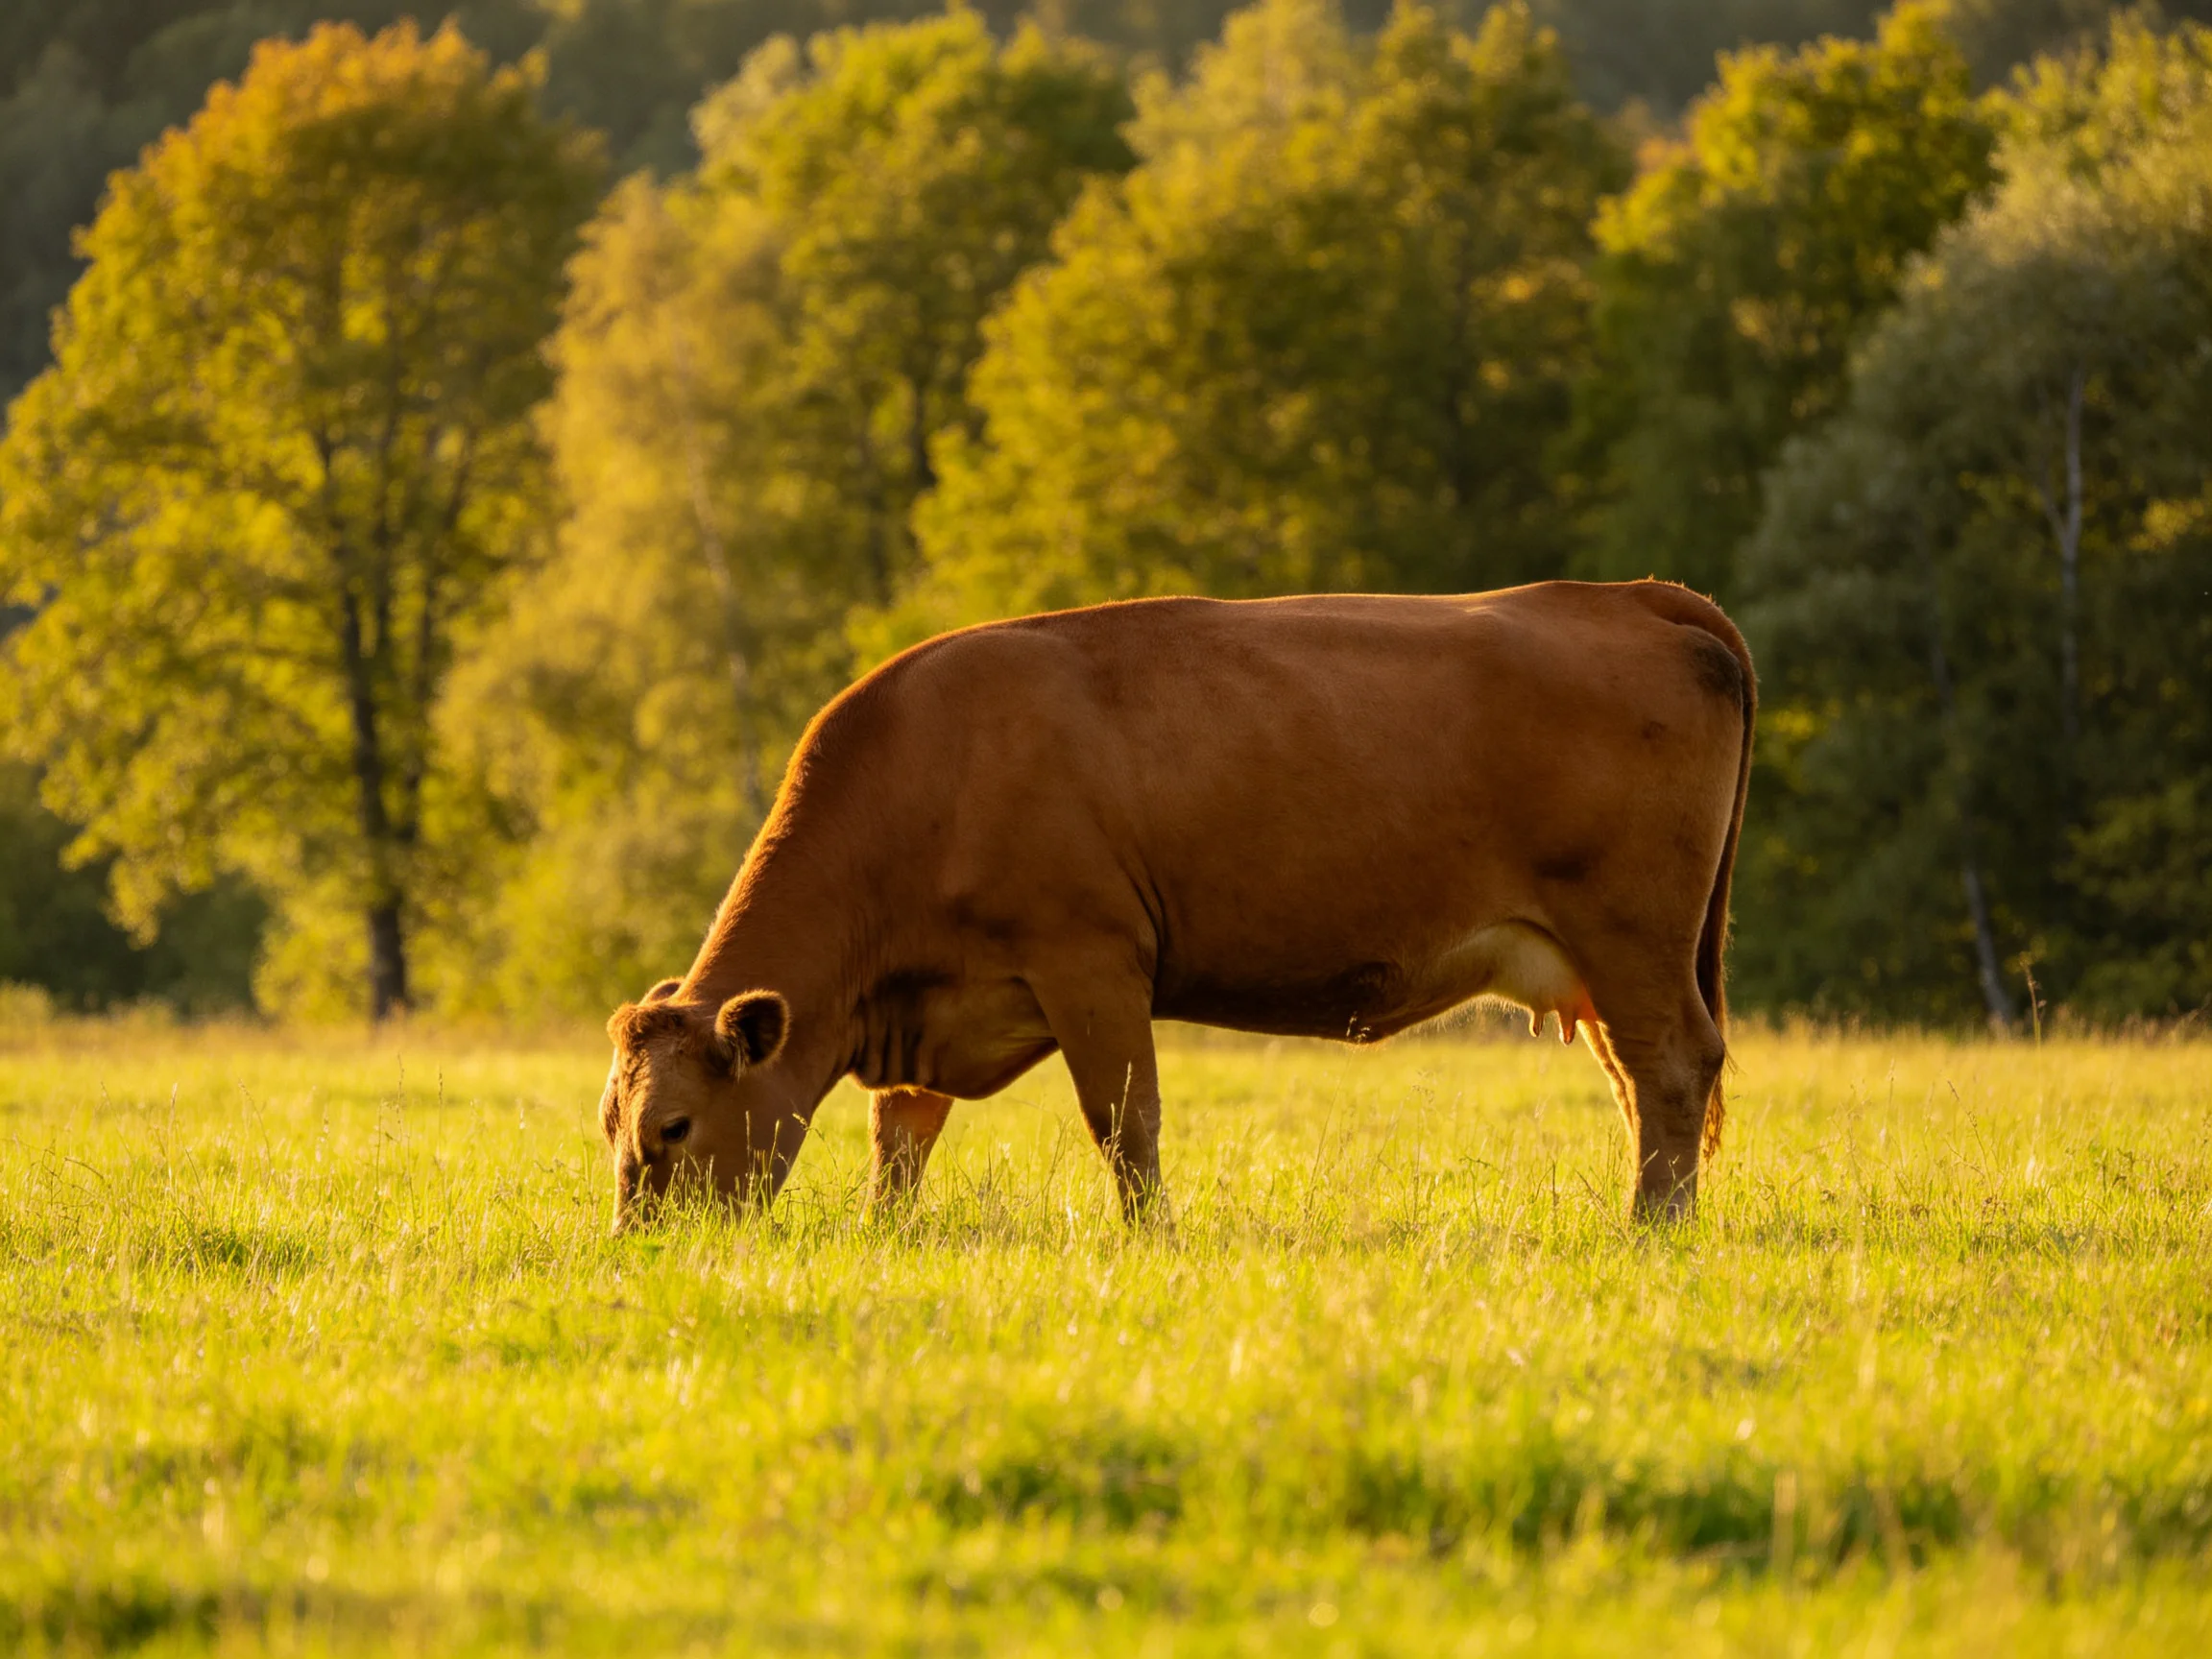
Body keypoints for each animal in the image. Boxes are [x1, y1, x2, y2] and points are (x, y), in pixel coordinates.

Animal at [599, 580, 1754, 1231]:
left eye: (674, 1126)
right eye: (609, 1119)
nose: (640, 1246)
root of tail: (1632, 593)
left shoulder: (1090, 958)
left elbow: (1123, 1117)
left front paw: (1147, 1234)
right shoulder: (934, 1006)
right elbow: (901, 1134)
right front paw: (886, 1230)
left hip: (1631, 934)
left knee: (1671, 1066)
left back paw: (1651, 1226)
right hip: (1597, 962)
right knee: (1637, 1080)